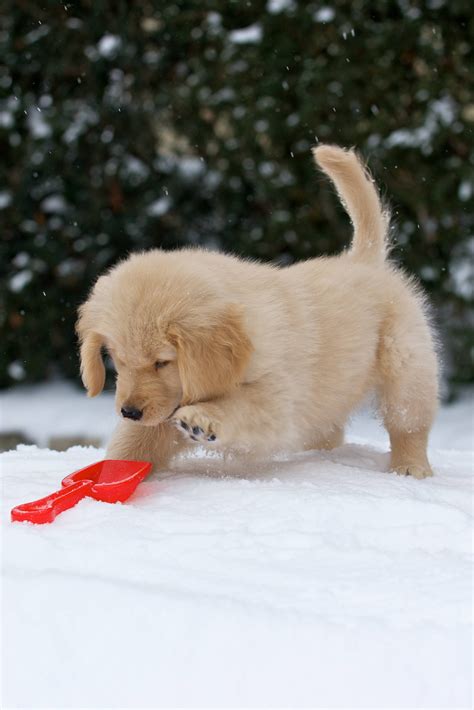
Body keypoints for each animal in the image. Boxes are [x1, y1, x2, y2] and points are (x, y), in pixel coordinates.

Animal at [77, 145, 436, 478]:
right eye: (118, 361)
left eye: (162, 362)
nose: (129, 411)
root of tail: (362, 260)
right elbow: (133, 445)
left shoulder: (276, 400)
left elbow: (240, 407)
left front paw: (203, 418)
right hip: (330, 396)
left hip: (406, 364)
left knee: (409, 423)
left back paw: (410, 466)